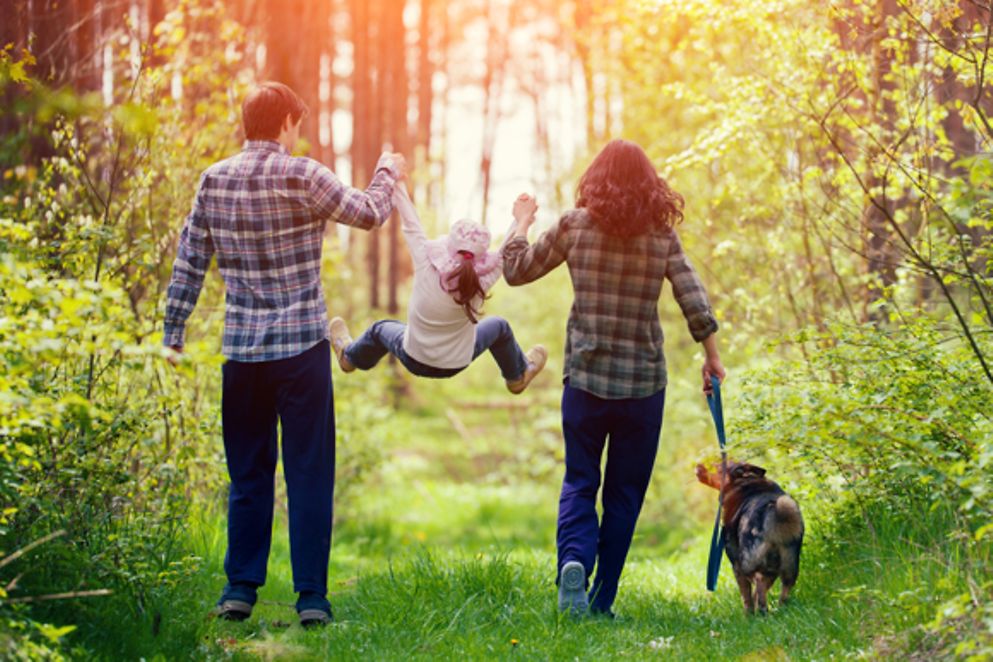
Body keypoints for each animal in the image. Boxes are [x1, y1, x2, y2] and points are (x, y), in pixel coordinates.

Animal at [692, 464, 804, 616]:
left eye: (715, 465)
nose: (698, 465)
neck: (745, 483)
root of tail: (775, 512)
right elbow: (755, 594)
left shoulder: (736, 565)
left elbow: (746, 597)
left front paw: (748, 615)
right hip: (789, 567)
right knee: (781, 589)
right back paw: (779, 610)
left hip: (748, 562)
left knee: (758, 581)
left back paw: (763, 612)